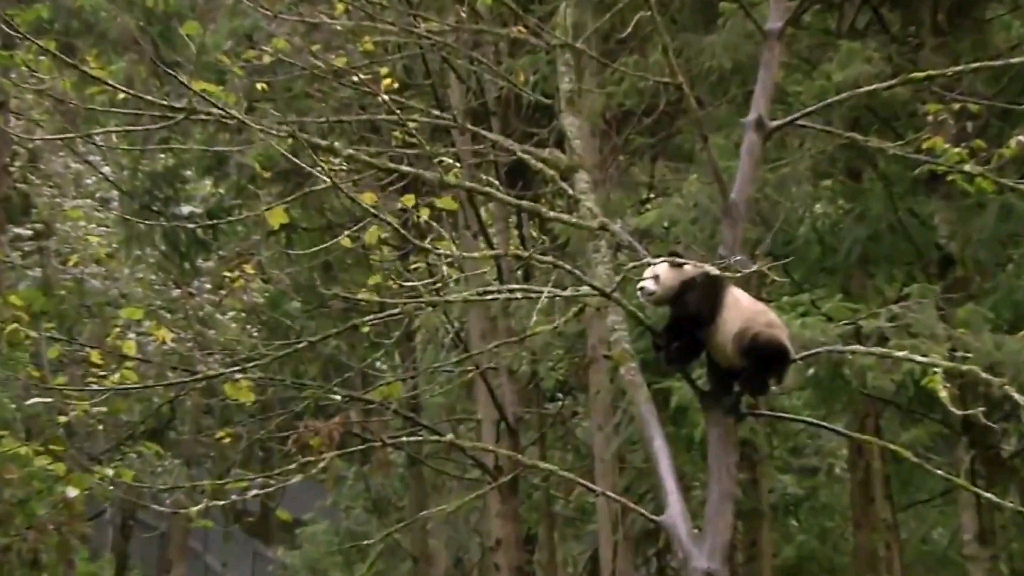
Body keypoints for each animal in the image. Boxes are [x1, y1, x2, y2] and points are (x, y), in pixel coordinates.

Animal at [634, 251, 794, 416]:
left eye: (655, 276)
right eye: (643, 277)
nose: (640, 288)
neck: (686, 276)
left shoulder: (703, 288)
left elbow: (692, 319)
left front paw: (663, 341)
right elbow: (695, 340)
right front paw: (673, 357)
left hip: (757, 332)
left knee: (763, 353)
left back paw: (754, 383)